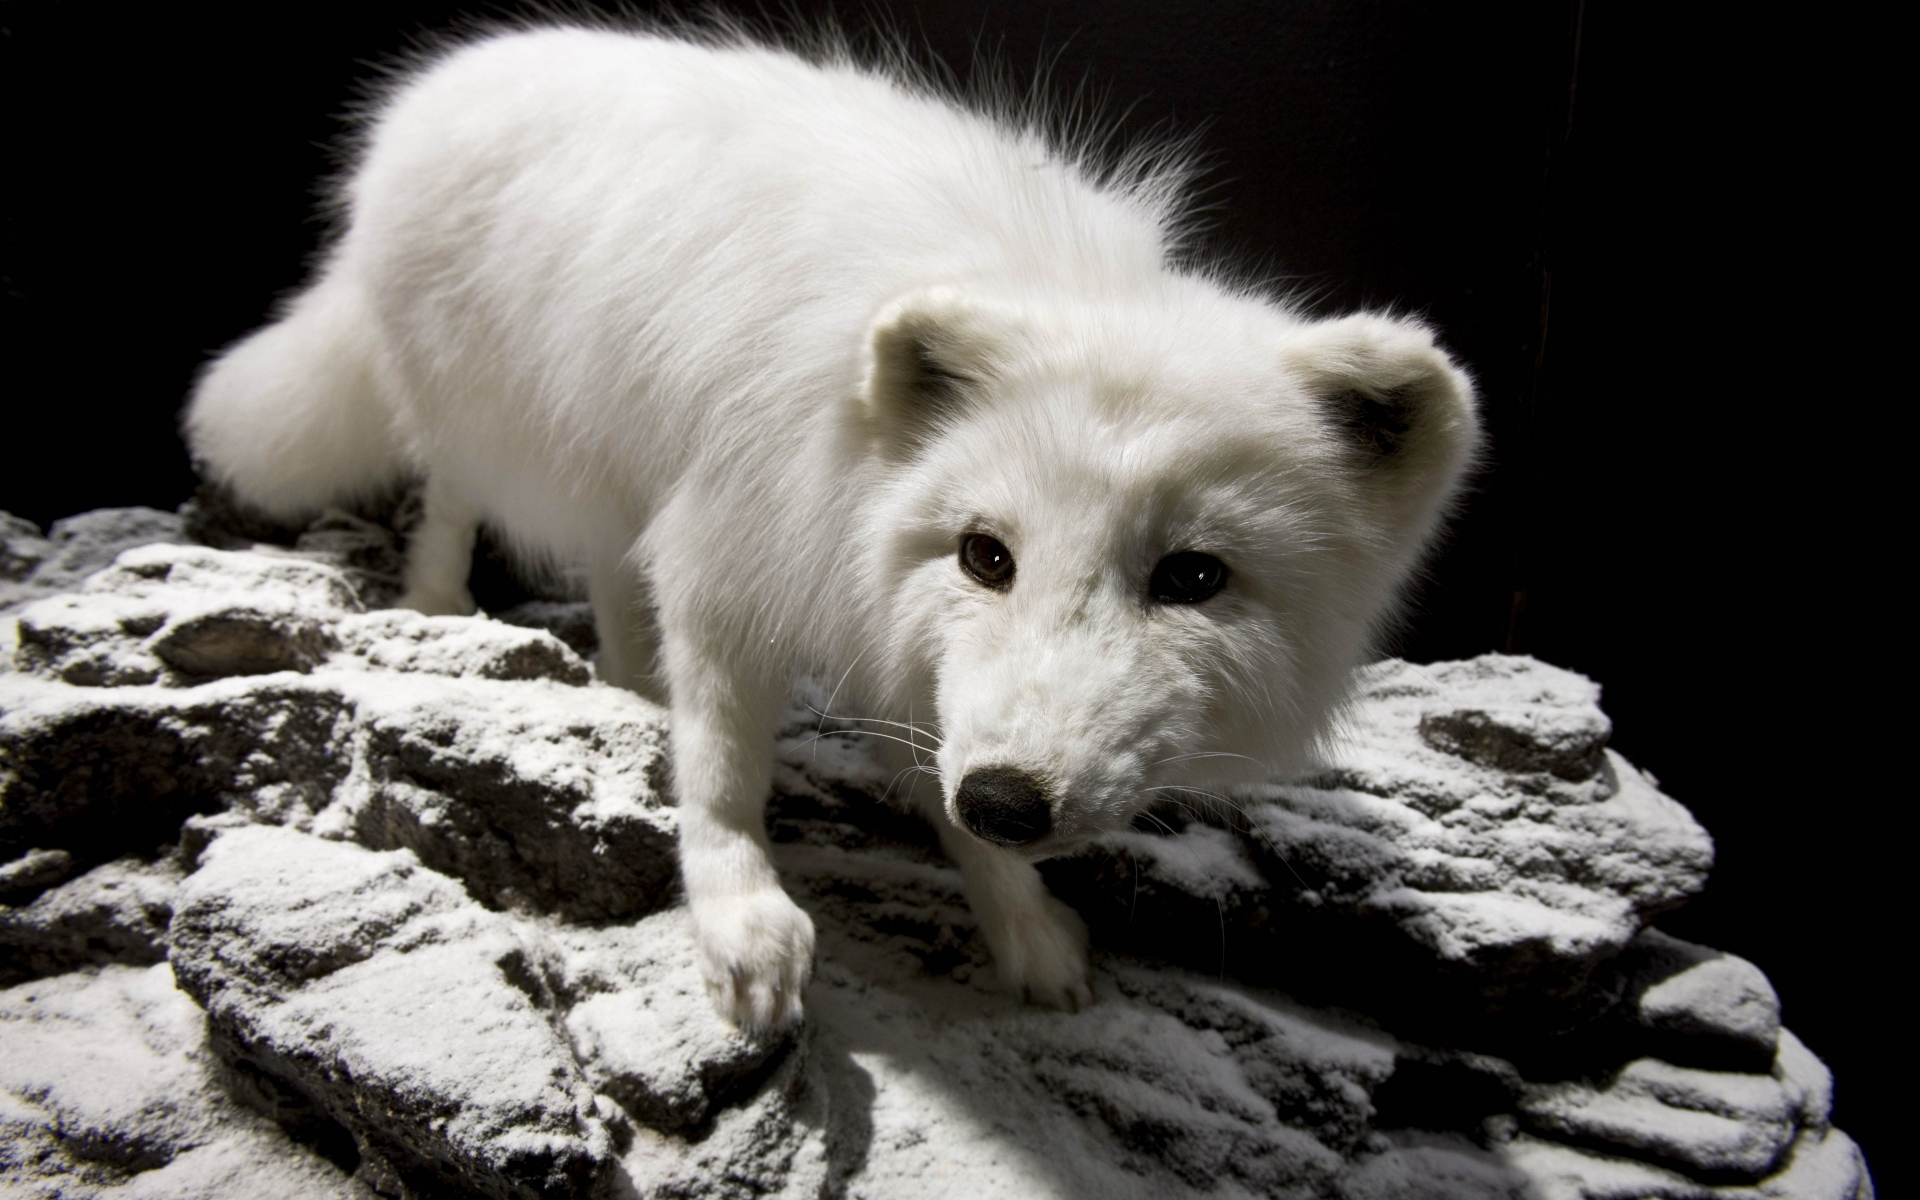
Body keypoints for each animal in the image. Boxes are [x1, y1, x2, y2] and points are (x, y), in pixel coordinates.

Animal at [184, 23, 1480, 1032]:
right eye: (986, 555)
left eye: (1193, 577)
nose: (1010, 800)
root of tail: (435, 87)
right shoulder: (732, 541)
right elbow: (724, 769)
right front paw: (740, 919)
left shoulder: (889, 636)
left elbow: (936, 774)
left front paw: (1023, 927)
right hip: (491, 413)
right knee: (451, 491)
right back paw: (441, 603)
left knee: (609, 564)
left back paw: (629, 681)